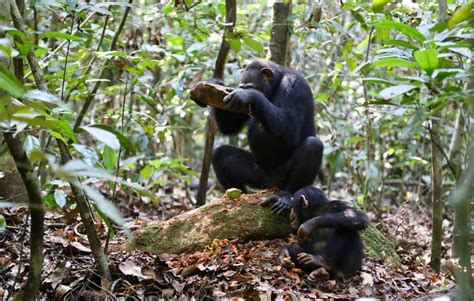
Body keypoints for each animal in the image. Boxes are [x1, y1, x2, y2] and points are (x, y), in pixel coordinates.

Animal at [193, 59, 322, 213]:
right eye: (241, 86)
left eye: (248, 87)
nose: (243, 91)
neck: (276, 84)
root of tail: (271, 185)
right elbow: (229, 127)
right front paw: (214, 83)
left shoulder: (294, 86)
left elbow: (290, 125)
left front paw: (249, 95)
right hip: (258, 177)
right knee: (221, 153)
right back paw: (239, 196)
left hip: (281, 178)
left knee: (312, 145)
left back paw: (287, 198)